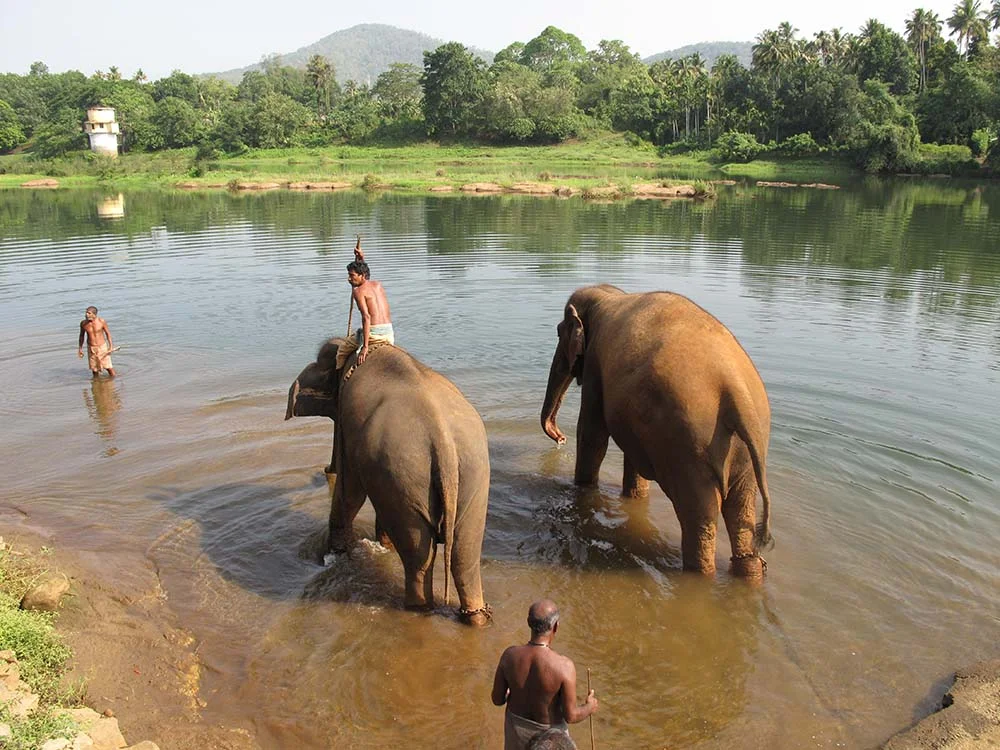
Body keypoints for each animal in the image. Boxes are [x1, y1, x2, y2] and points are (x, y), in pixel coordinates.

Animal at [286, 338, 492, 625]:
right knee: (464, 555)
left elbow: (351, 492)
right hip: (465, 477)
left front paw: (335, 554)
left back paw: (417, 609)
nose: (324, 470)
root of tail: (444, 443)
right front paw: (380, 546)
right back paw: (475, 618)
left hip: (409, 472)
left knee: (419, 560)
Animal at [540, 285, 773, 578]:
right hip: (744, 454)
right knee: (741, 514)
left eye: (559, 331)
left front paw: (583, 490)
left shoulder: (594, 364)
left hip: (688, 449)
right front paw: (633, 499)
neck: (610, 294)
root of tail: (737, 392)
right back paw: (748, 573)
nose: (559, 437)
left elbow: (592, 436)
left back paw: (698, 574)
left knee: (698, 518)